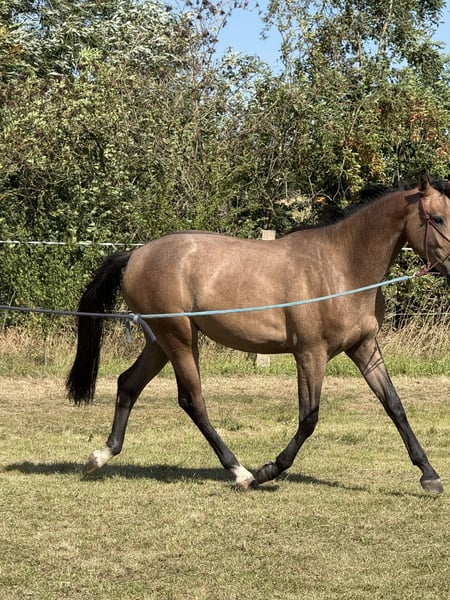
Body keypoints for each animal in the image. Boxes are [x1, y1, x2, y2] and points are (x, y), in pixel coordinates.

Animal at [67, 172, 450, 493]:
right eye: (438, 218)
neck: (341, 267)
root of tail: (135, 255)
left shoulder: (364, 347)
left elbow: (394, 405)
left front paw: (429, 476)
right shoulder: (310, 353)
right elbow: (309, 418)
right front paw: (269, 470)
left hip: (161, 341)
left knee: (128, 384)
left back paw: (100, 456)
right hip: (179, 338)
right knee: (193, 401)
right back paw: (240, 472)